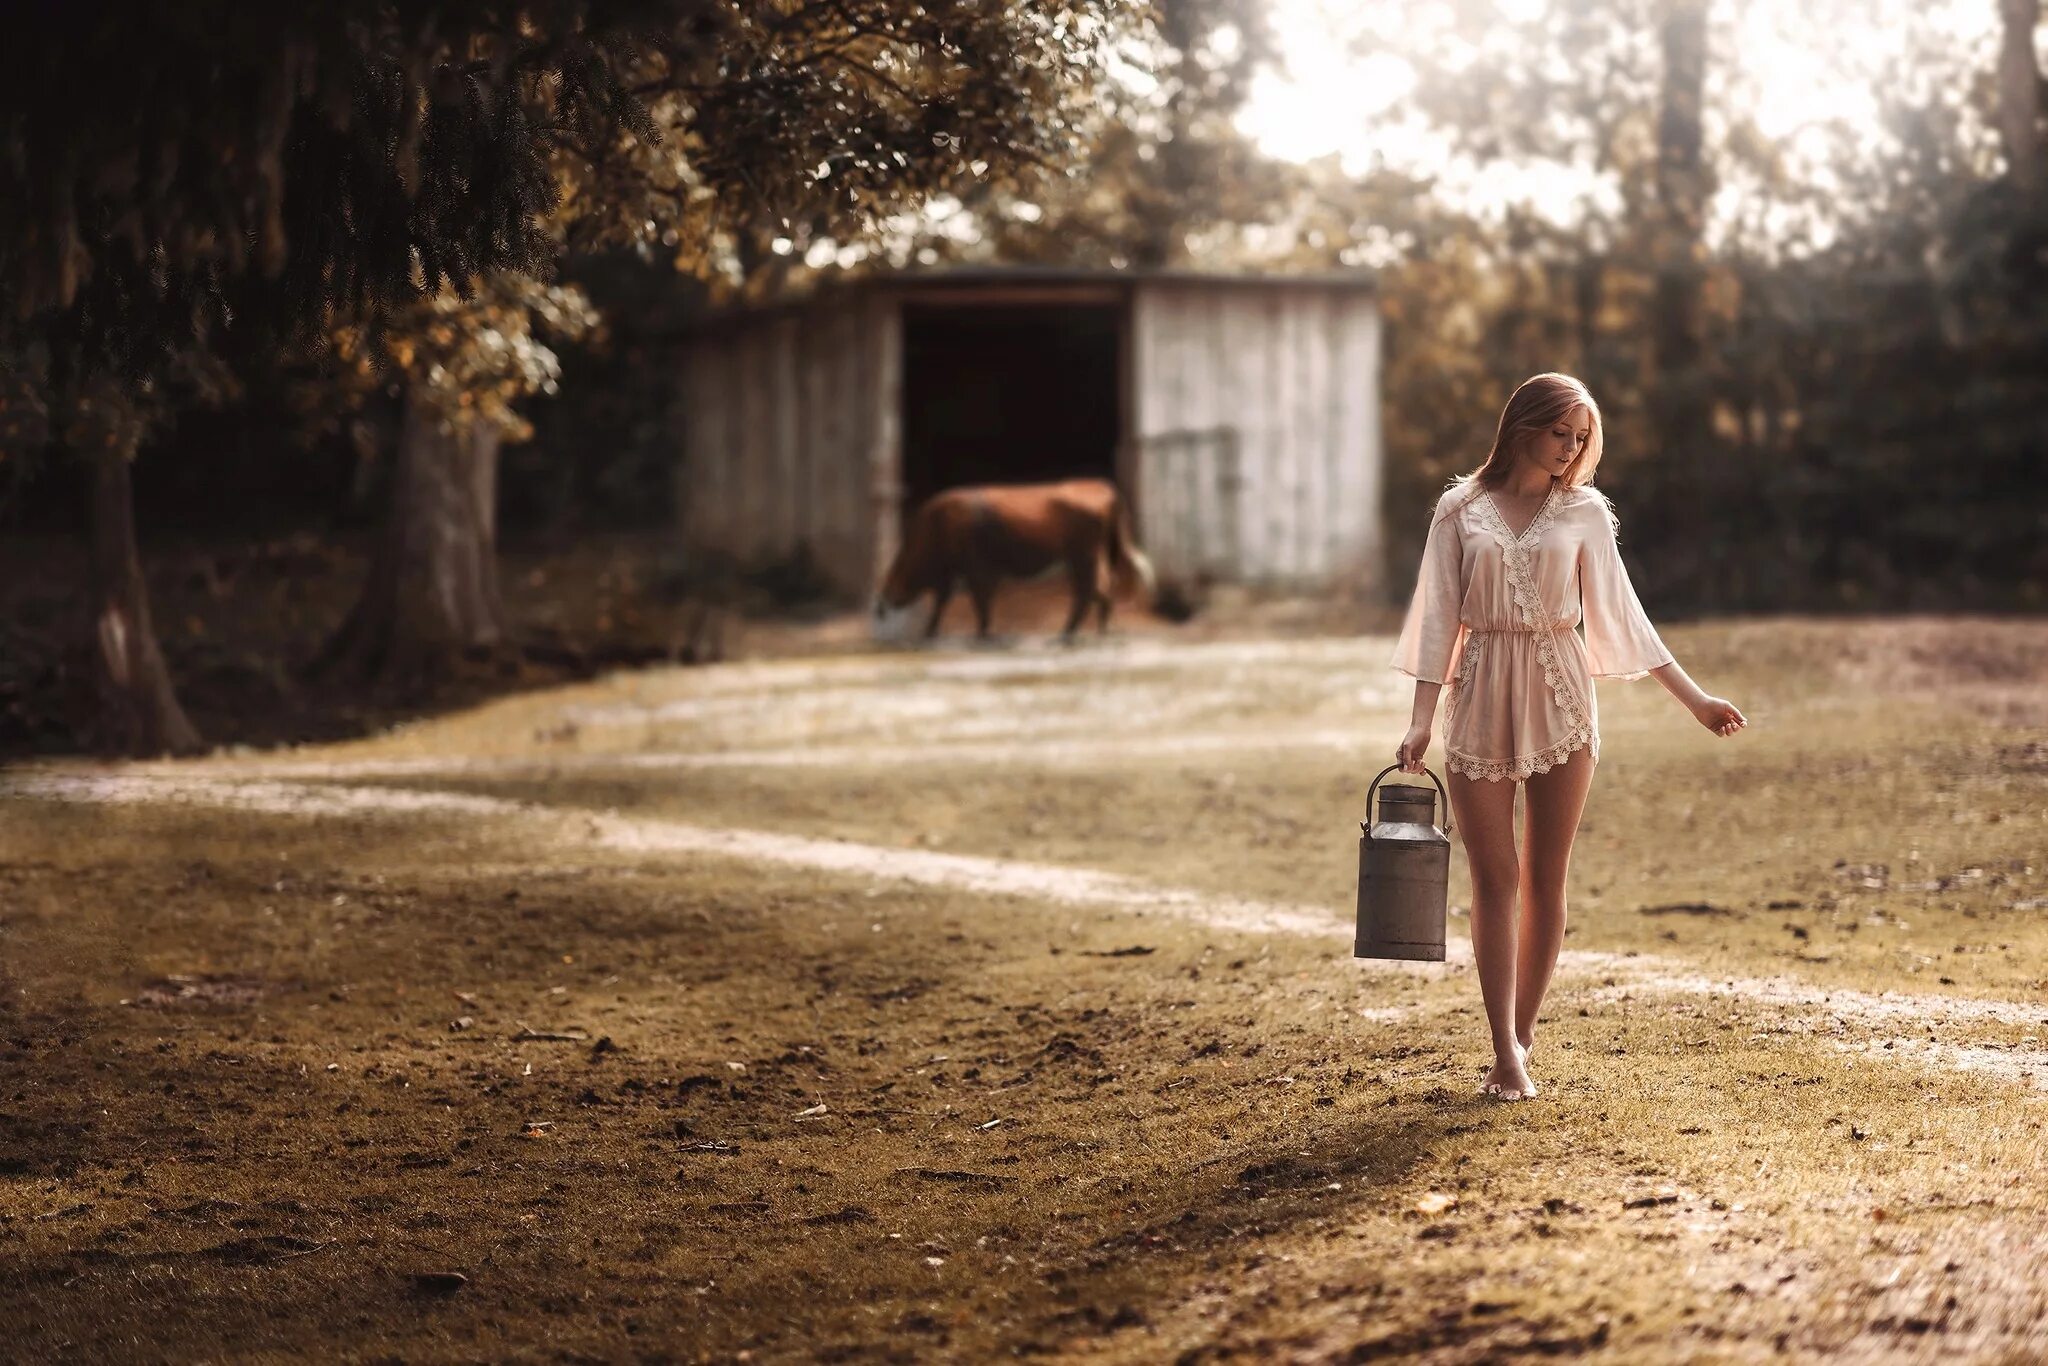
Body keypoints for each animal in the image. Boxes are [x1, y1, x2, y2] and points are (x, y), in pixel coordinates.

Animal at [868, 479, 1155, 643]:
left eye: (898, 573)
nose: (882, 602)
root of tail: (1099, 487)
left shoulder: (977, 569)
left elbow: (980, 602)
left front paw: (983, 633)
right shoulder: (955, 575)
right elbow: (943, 602)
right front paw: (930, 631)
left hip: (1083, 557)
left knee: (1089, 591)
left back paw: (1070, 632)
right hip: (1090, 557)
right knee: (1100, 588)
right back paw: (1096, 629)